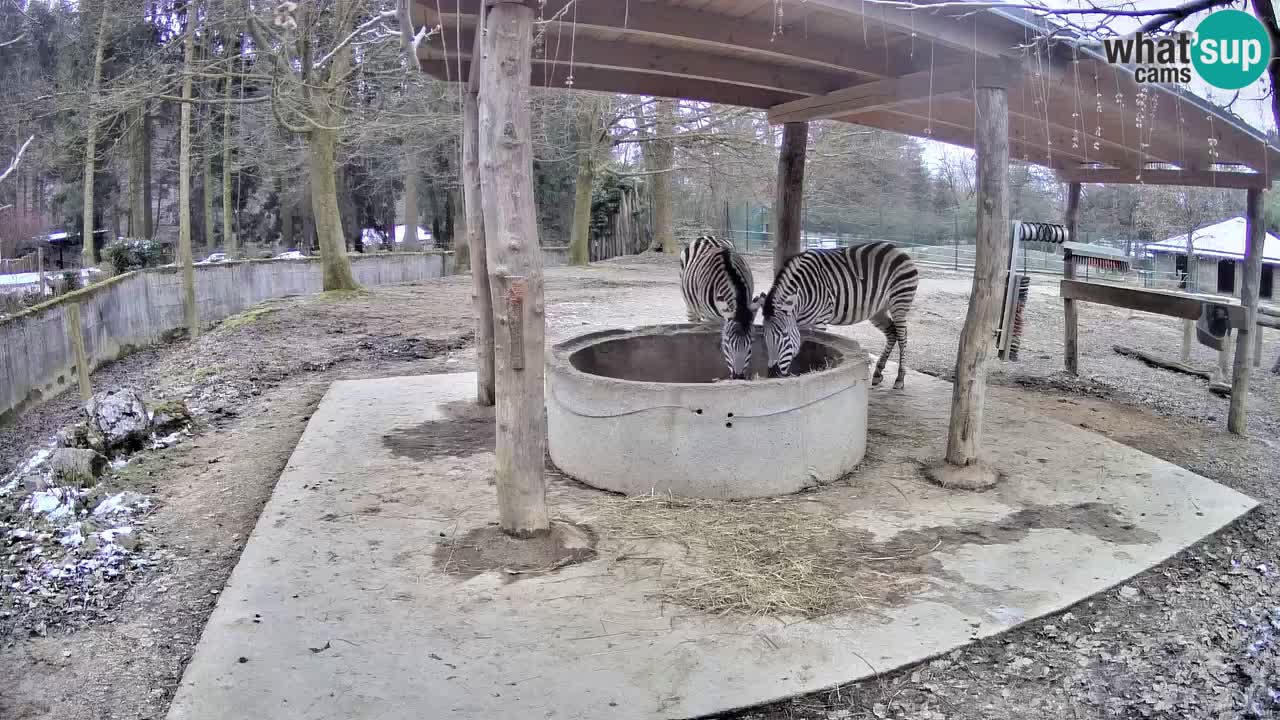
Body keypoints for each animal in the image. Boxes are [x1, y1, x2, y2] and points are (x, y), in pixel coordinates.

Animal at [680, 235, 757, 381]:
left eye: (750, 347)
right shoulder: (712, 318)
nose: (738, 377)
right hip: (690, 306)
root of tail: (706, 236)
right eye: (727, 345)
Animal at [757, 240, 921, 386]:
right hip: (878, 310)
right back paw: (877, 373)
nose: (772, 374)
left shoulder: (820, 320)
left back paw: (900, 378)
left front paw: (820, 372)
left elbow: (817, 345)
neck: (803, 294)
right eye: (764, 335)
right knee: (892, 333)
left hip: (899, 302)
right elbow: (802, 345)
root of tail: (896, 249)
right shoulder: (800, 323)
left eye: (784, 335)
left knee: (902, 337)